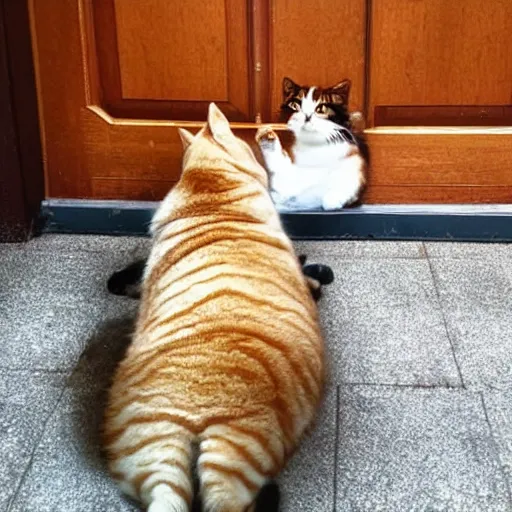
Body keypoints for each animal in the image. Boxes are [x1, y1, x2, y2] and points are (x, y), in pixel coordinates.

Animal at [255, 75, 368, 210]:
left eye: (320, 109)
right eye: (296, 106)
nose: (307, 116)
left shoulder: (353, 155)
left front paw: (334, 198)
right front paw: (266, 136)